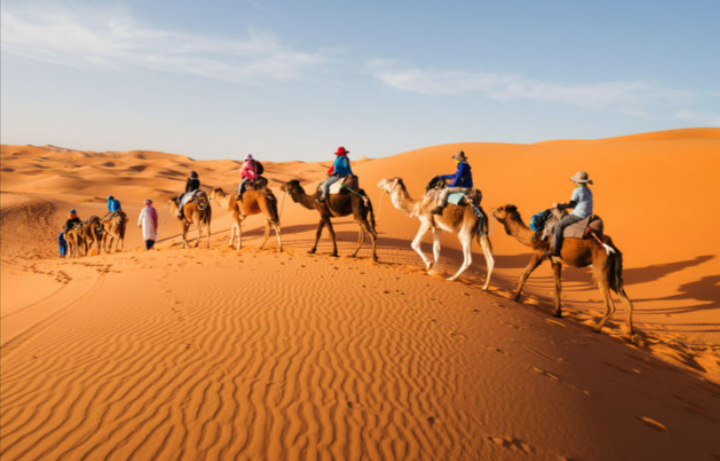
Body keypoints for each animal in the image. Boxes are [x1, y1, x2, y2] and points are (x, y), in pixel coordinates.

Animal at [490, 205, 636, 334]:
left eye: (500, 209)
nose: (491, 210)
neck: (533, 236)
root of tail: (613, 249)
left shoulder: (539, 253)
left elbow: (524, 273)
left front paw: (515, 297)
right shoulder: (555, 261)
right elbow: (558, 287)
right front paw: (557, 312)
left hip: (601, 270)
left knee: (610, 305)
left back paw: (597, 329)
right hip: (612, 273)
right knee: (627, 302)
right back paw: (630, 335)